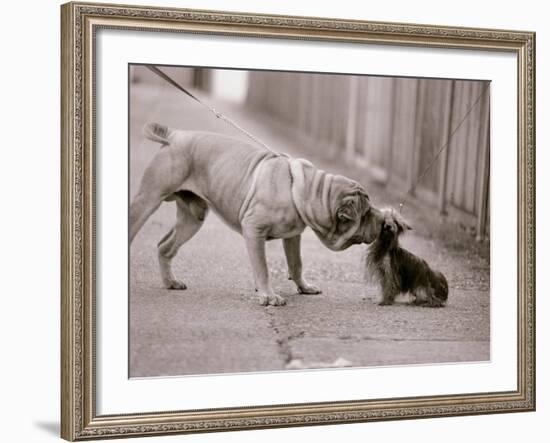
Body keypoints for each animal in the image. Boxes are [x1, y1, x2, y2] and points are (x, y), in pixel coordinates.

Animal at [131, 123, 386, 306]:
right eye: (367, 213)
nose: (383, 218)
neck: (310, 191)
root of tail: (174, 135)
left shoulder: (292, 236)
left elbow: (296, 263)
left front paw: (303, 287)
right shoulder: (254, 230)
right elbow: (262, 267)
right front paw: (268, 296)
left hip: (193, 218)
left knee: (165, 247)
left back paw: (171, 282)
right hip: (148, 199)